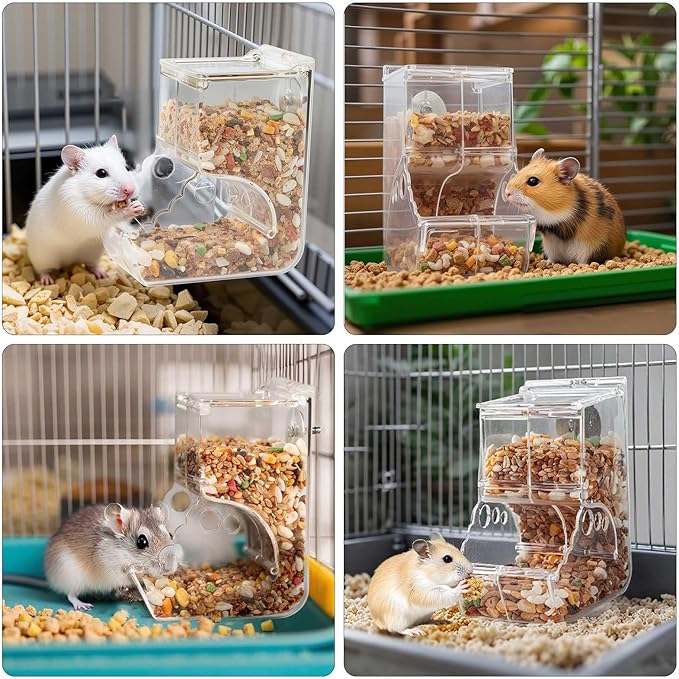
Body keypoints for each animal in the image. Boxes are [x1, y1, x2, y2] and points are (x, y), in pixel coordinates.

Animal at [26, 135, 145, 285]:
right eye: (101, 173)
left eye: (126, 167)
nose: (130, 190)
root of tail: (68, 261)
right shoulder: (81, 213)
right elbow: (108, 216)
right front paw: (131, 209)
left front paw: (139, 206)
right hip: (42, 258)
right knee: (43, 270)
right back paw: (47, 281)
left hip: (92, 253)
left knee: (90, 265)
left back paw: (101, 274)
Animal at [43, 503, 181, 611]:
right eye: (141, 542)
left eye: (170, 535)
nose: (170, 569)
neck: (126, 554)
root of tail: (51, 579)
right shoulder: (111, 568)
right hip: (71, 576)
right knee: (70, 595)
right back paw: (83, 605)